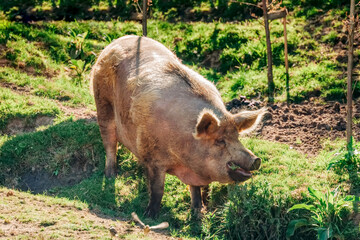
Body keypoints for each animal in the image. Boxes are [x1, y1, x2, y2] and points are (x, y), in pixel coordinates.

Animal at [90, 35, 264, 218]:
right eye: (220, 141)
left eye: (237, 137)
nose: (255, 160)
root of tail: (116, 41)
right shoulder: (154, 158)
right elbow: (158, 188)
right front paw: (149, 215)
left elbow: (195, 188)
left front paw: (198, 213)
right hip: (102, 105)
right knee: (110, 143)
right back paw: (111, 176)